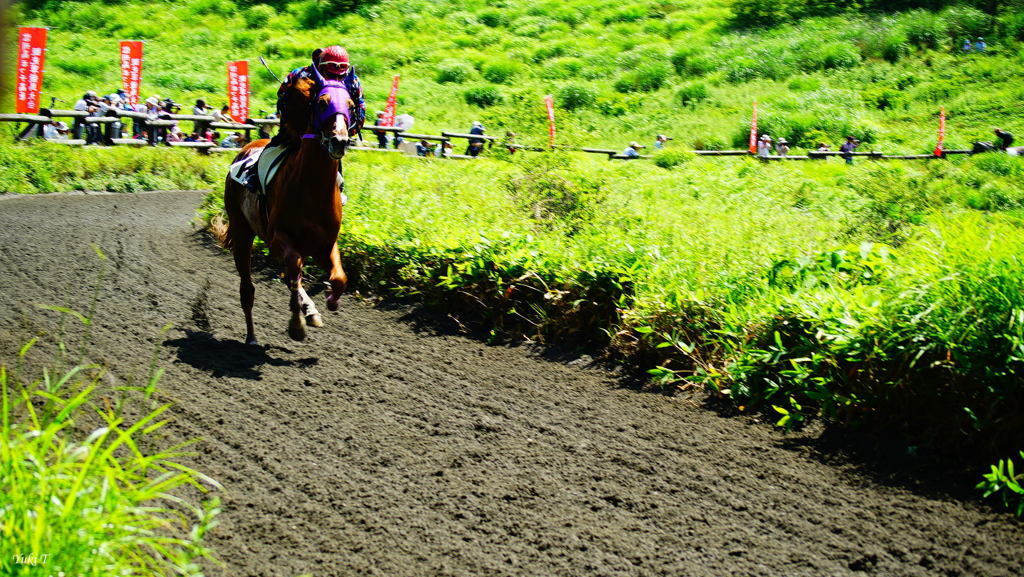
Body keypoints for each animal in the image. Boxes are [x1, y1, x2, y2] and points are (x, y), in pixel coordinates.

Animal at [222, 66, 354, 346]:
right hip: (241, 232)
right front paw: (296, 323)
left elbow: (339, 278)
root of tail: (247, 145)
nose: (339, 141)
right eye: (322, 102)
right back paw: (252, 336)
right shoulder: (279, 238)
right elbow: (293, 270)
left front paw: (329, 301)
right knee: (248, 289)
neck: (312, 190)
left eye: (350, 105)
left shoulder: (325, 245)